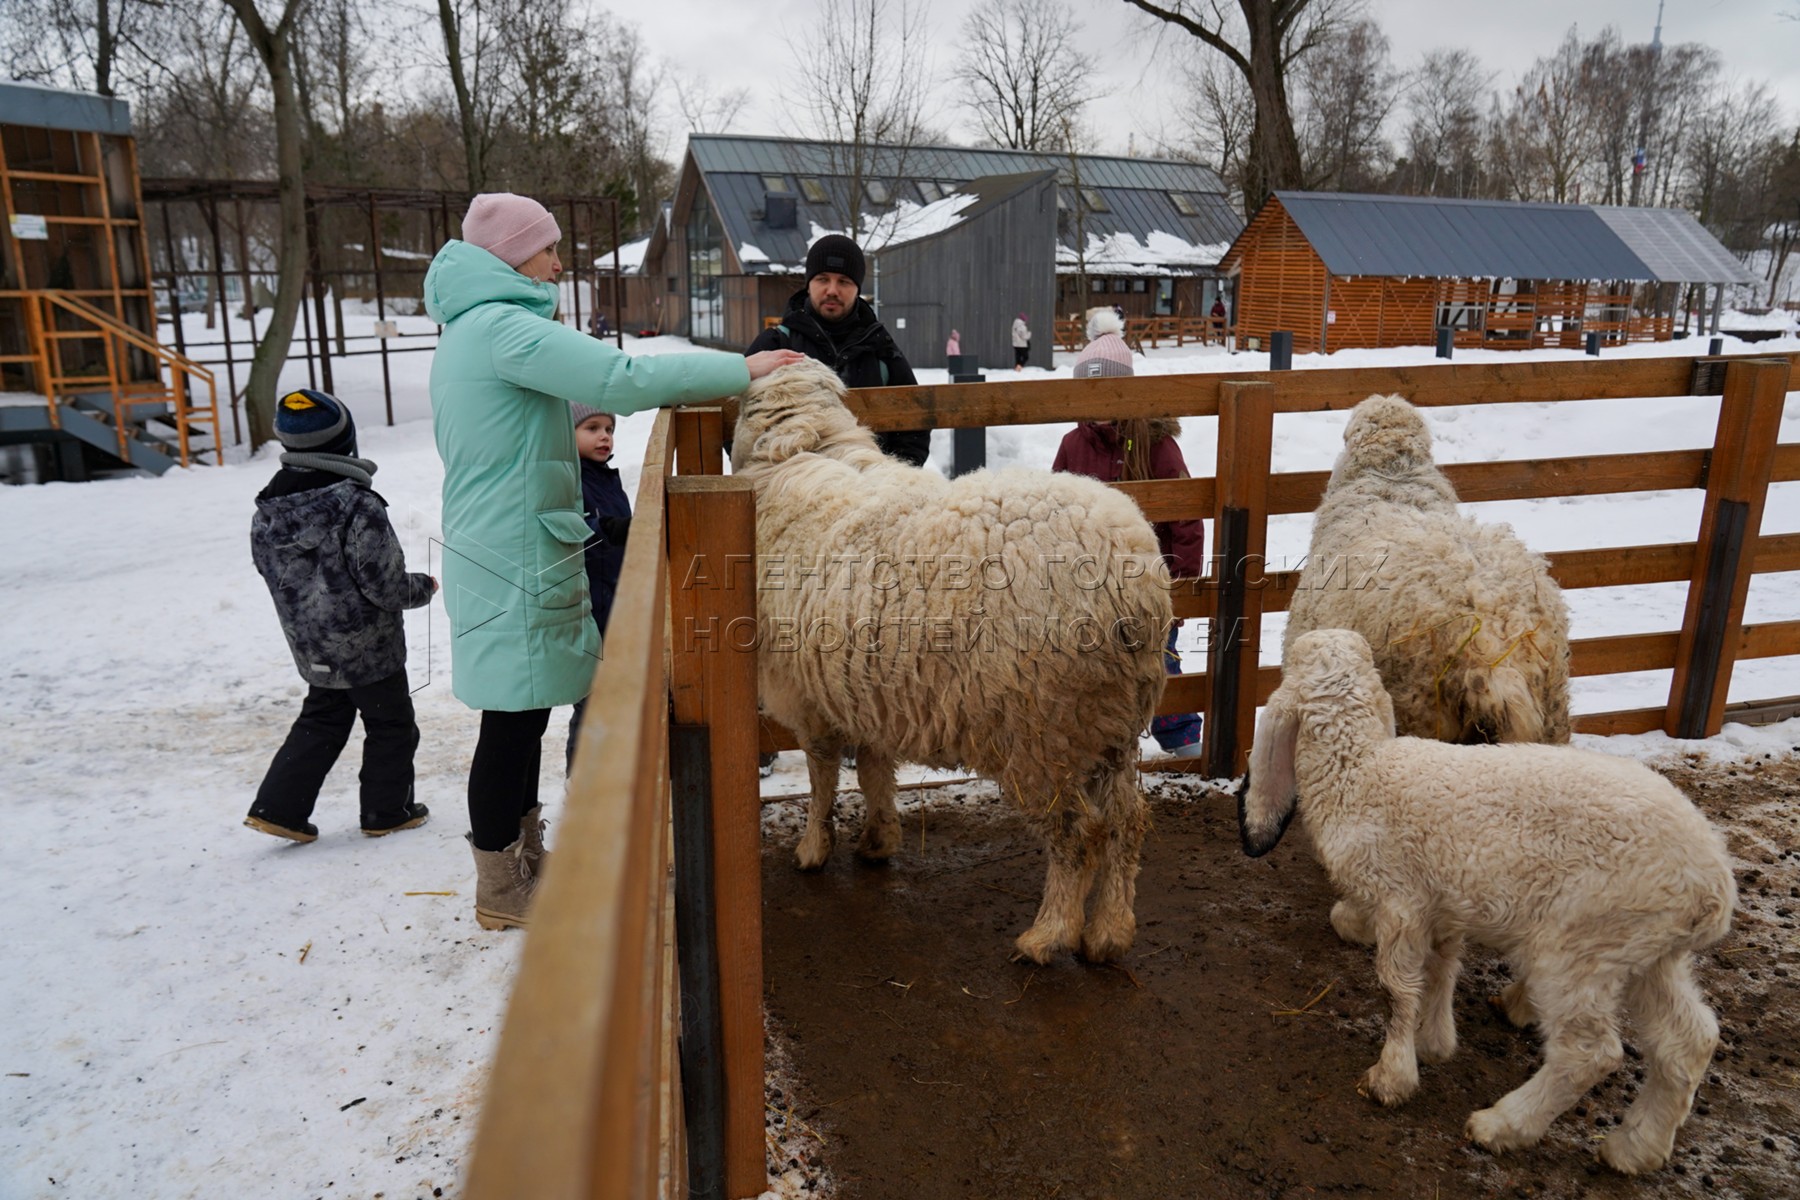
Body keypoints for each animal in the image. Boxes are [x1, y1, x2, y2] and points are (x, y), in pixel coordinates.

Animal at [727, 359, 1166, 964]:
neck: (801, 451)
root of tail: (1132, 584)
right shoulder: (867, 688)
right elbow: (874, 768)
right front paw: (879, 839)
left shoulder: (810, 699)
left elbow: (821, 777)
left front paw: (814, 848)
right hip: (1108, 723)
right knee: (1128, 822)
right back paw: (1109, 933)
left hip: (1043, 732)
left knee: (1078, 835)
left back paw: (1048, 934)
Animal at [1245, 633, 1735, 1180]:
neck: (1359, 771)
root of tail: (1714, 886)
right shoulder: (1443, 906)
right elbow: (1441, 970)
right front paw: (1434, 1042)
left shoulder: (1400, 902)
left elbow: (1397, 987)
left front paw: (1392, 1076)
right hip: (1647, 953)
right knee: (1689, 1042)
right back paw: (1635, 1149)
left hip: (1581, 946)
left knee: (1590, 1053)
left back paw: (1502, 1126)